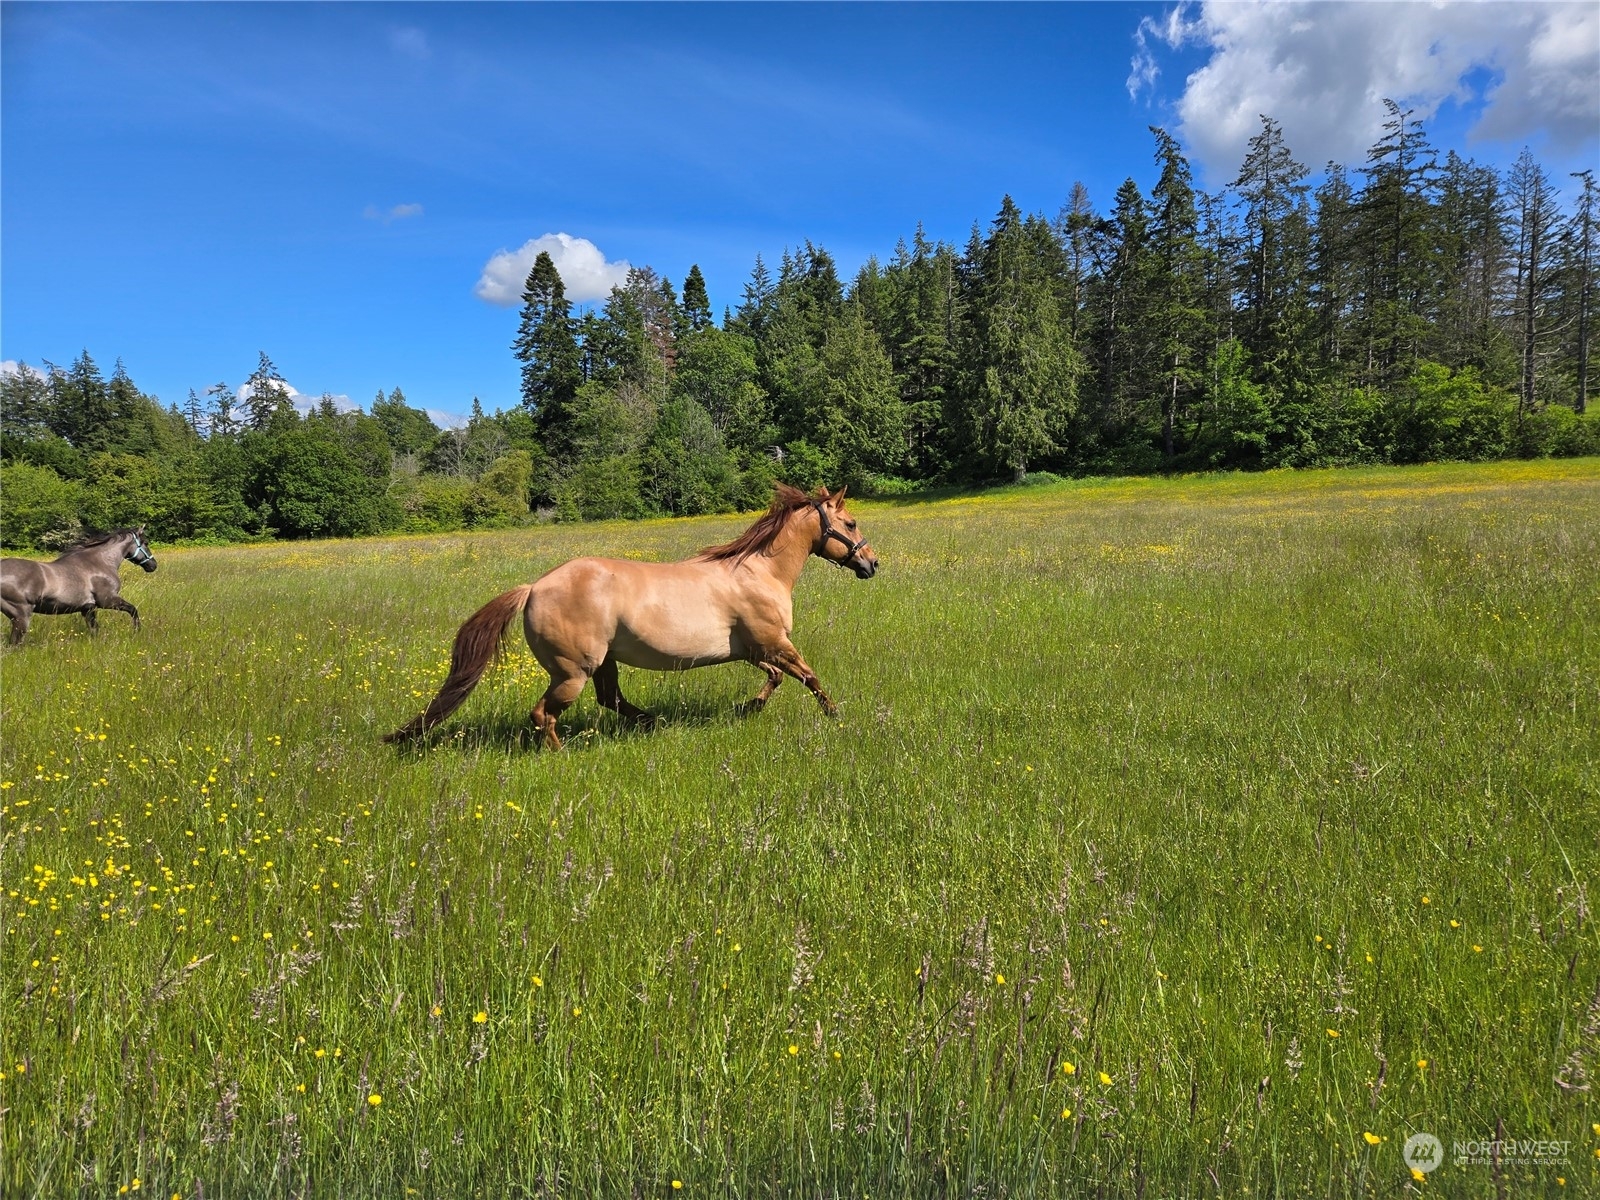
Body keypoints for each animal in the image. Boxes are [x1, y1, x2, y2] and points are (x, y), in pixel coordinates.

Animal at [1, 528, 159, 649]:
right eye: (146, 543)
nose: (153, 565)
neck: (100, 562)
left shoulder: (88, 608)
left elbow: (94, 629)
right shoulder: (108, 601)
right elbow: (133, 610)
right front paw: (137, 631)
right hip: (21, 616)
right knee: (14, 644)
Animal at [388, 483, 883, 748]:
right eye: (852, 523)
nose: (872, 563)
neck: (759, 571)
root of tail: (533, 588)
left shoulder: (754, 649)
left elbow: (777, 678)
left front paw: (748, 707)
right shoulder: (775, 642)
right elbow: (809, 675)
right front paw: (835, 716)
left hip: (604, 662)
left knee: (610, 701)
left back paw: (653, 722)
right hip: (574, 671)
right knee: (543, 714)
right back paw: (561, 754)